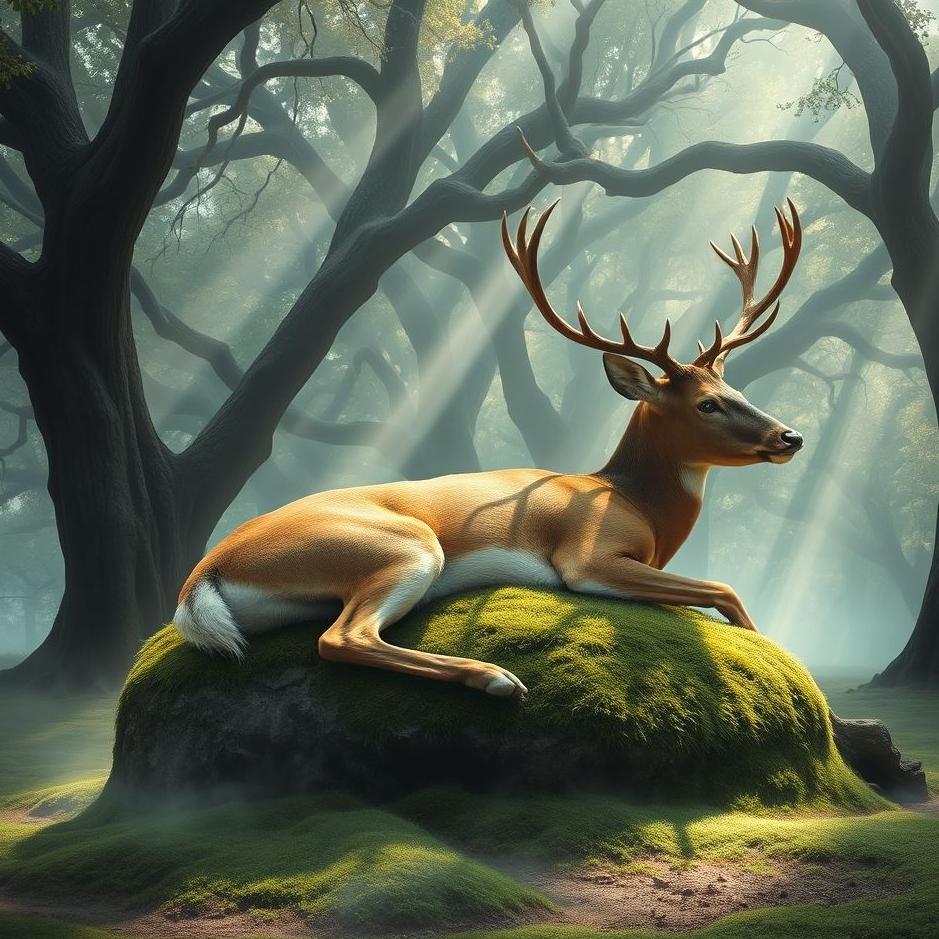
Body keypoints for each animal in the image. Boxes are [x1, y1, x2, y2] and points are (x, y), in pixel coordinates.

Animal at [174, 200, 804, 700]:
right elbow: (725, 588)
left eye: (737, 389)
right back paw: (496, 678)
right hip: (404, 548)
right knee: (341, 637)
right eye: (707, 404)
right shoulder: (588, 556)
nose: (789, 437)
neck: (633, 500)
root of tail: (201, 576)